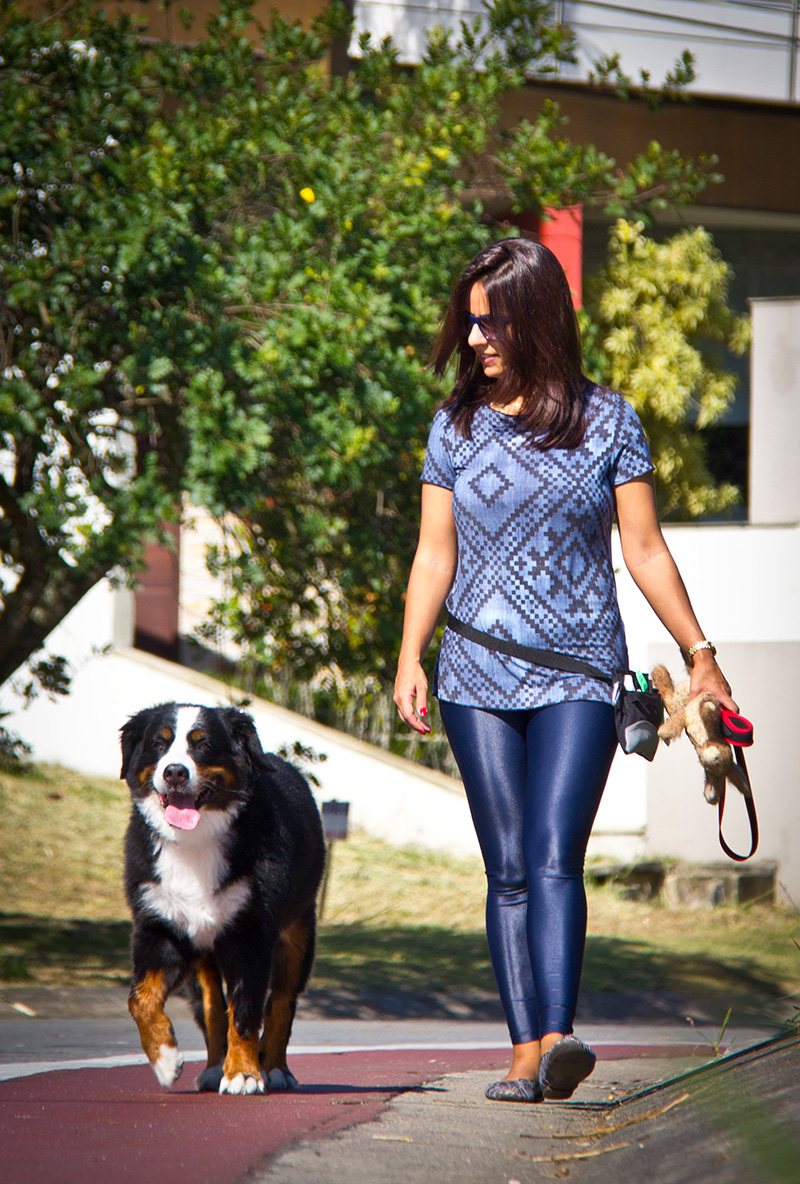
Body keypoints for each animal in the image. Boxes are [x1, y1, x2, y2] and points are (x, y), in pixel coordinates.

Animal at [119, 696, 324, 1094]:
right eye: (159, 744)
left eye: (203, 745)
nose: (175, 772)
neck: (194, 842)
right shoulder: (160, 927)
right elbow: (140, 999)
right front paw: (165, 1059)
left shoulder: (251, 934)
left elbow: (246, 1013)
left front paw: (244, 1073)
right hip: (204, 954)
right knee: (214, 1008)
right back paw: (215, 1066)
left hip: (297, 933)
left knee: (281, 1002)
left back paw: (275, 1068)